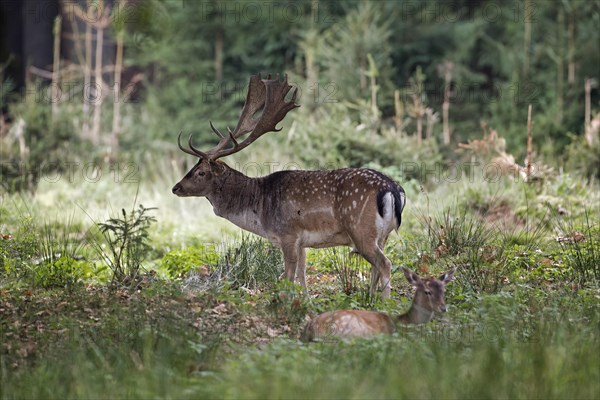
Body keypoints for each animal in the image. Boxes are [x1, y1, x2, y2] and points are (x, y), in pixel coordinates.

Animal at [173, 75, 408, 298]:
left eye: (201, 172)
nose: (176, 187)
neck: (260, 209)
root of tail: (393, 189)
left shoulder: (288, 234)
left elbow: (287, 276)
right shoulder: (302, 242)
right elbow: (302, 274)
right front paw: (305, 301)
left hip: (360, 229)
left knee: (385, 264)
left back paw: (384, 303)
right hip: (382, 235)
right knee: (377, 266)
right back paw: (370, 298)